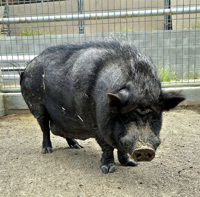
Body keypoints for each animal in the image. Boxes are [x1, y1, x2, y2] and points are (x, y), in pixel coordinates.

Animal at [20, 39, 184, 174]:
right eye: (126, 117)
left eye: (154, 117)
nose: (144, 148)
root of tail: (27, 67)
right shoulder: (97, 126)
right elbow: (107, 147)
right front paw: (109, 169)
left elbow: (121, 149)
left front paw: (131, 164)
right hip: (36, 105)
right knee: (45, 128)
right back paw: (47, 150)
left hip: (62, 115)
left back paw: (77, 146)